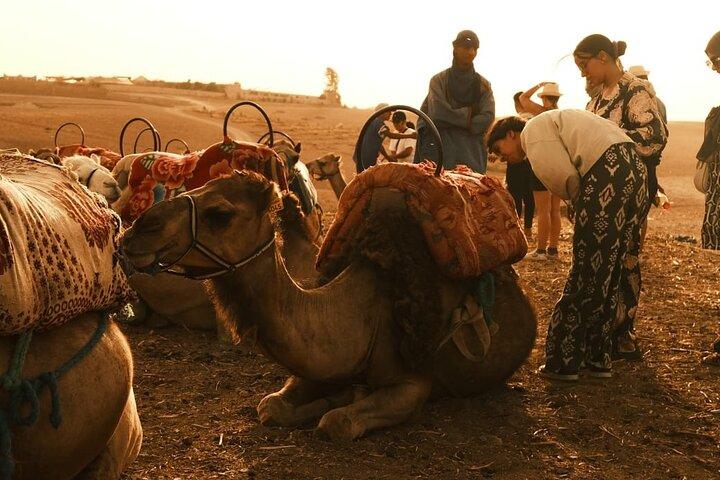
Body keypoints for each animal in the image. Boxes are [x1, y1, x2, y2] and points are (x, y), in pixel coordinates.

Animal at [122, 171, 537, 440]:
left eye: (220, 214)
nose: (137, 230)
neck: (360, 317)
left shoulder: (416, 381)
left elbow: (337, 423)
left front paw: (335, 405)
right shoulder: (319, 364)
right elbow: (270, 406)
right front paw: (327, 399)